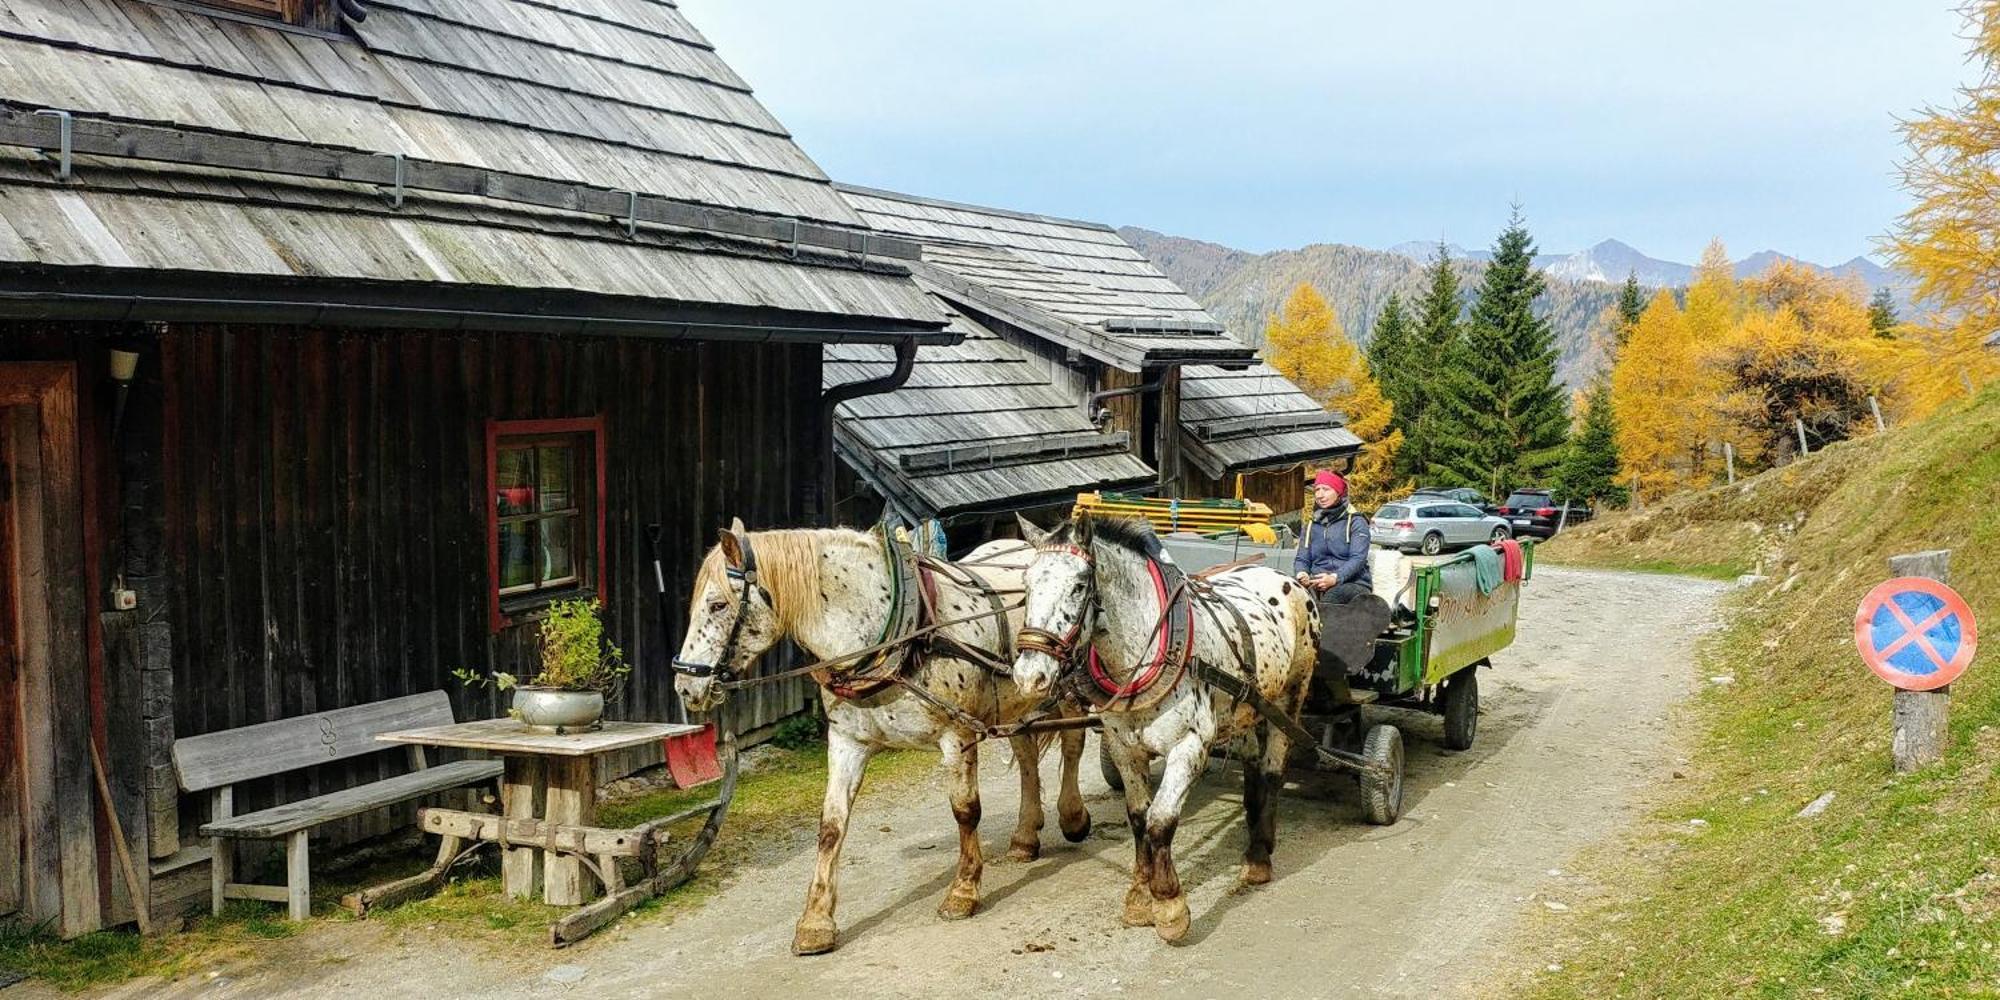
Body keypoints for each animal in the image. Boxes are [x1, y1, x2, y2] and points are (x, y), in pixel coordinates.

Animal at [672, 524, 1088, 952]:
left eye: (718, 605)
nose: (686, 685)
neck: (895, 635)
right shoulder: (847, 741)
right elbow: (831, 825)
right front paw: (816, 921)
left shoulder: (957, 734)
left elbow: (965, 811)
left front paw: (963, 891)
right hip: (1017, 700)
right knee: (1026, 756)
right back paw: (1025, 837)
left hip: (1061, 682)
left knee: (1074, 742)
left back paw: (1073, 816)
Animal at [1016, 516, 1312, 944]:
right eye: (1025, 583)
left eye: (1078, 585)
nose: (1029, 676)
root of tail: (1289, 579)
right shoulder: (1123, 748)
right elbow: (1139, 819)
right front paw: (1140, 898)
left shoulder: (1190, 746)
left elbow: (1161, 820)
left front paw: (1170, 904)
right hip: (1244, 709)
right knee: (1253, 768)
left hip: (1288, 702)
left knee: (1272, 772)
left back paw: (1258, 858)